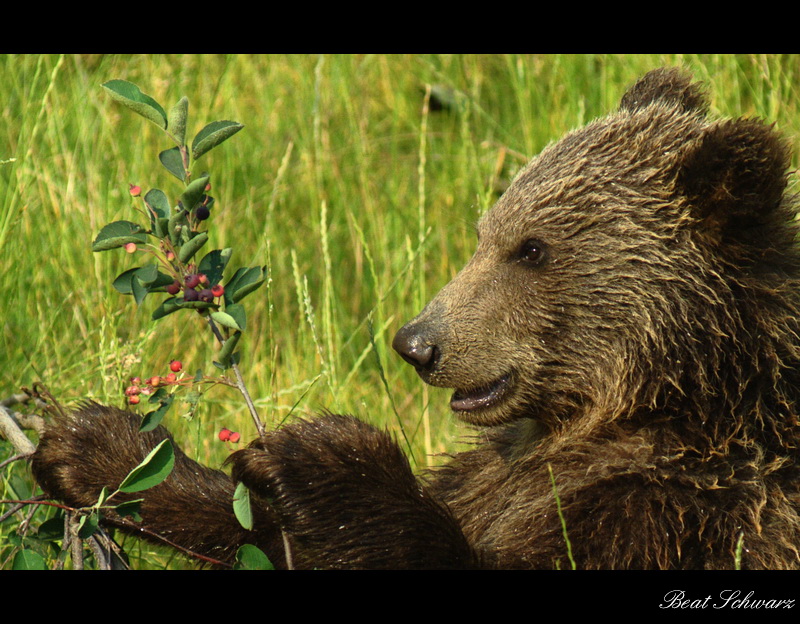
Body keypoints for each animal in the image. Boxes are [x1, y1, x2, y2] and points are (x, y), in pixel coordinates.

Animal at [28, 69, 800, 572]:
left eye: (533, 249)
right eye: (486, 231)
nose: (417, 343)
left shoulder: (690, 511)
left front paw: (319, 456)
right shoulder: (502, 471)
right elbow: (271, 539)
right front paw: (98, 449)